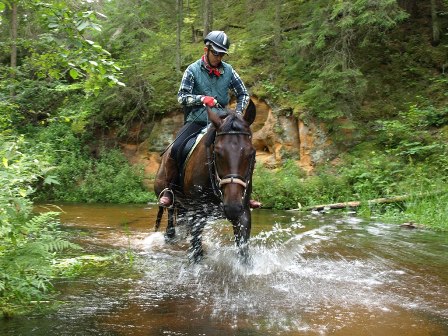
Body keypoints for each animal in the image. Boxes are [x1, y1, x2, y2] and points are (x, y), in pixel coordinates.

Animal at [153, 100, 256, 262]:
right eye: (217, 153)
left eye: (251, 153)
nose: (232, 208)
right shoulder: (198, 214)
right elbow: (196, 252)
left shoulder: (243, 212)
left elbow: (243, 252)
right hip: (171, 198)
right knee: (170, 222)